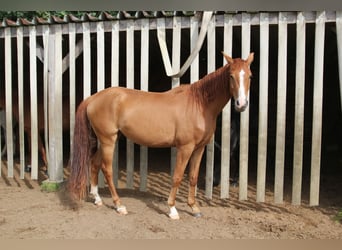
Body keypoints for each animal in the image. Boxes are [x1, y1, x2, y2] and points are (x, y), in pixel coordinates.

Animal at [68, 52, 254, 219]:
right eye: (231, 76)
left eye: (250, 76)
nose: (242, 104)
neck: (199, 104)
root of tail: (93, 98)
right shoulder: (185, 148)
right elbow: (177, 176)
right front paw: (172, 209)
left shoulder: (199, 148)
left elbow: (193, 177)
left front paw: (194, 208)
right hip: (108, 141)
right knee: (106, 169)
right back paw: (119, 205)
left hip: (107, 139)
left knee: (94, 163)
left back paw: (97, 198)